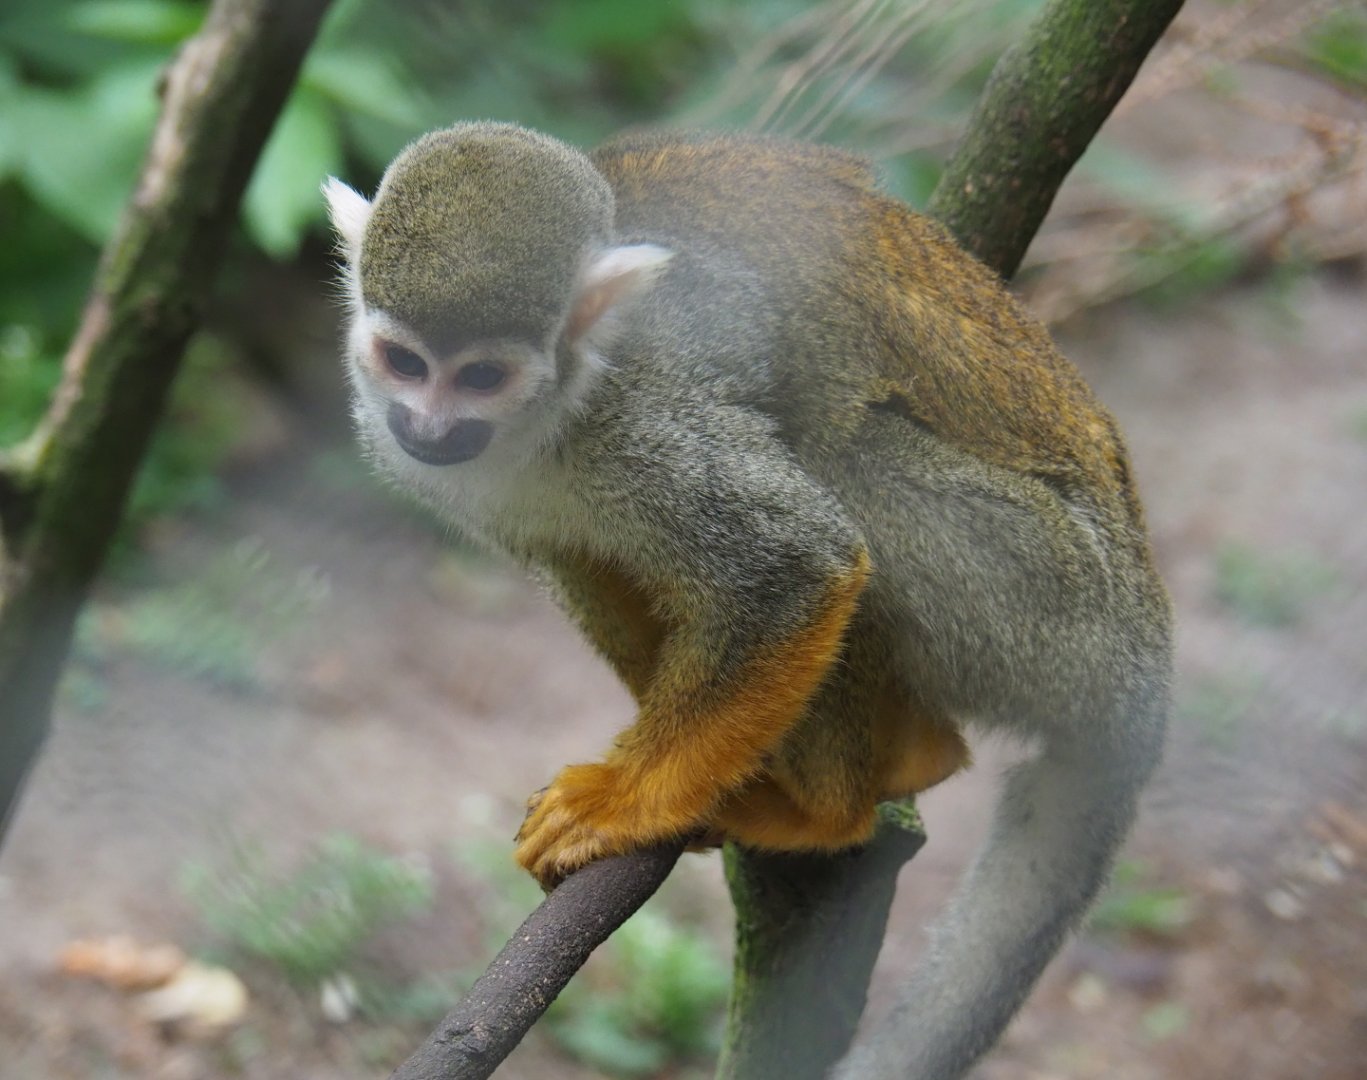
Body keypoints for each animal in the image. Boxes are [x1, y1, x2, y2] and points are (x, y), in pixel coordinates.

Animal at [324, 122, 1172, 1079]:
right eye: (404, 363)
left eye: (479, 377)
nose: (427, 429)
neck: (550, 416)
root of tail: (1143, 661)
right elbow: (583, 564)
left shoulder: (645, 416)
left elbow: (797, 563)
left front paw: (629, 801)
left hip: (1049, 601)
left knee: (845, 461)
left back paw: (835, 804)